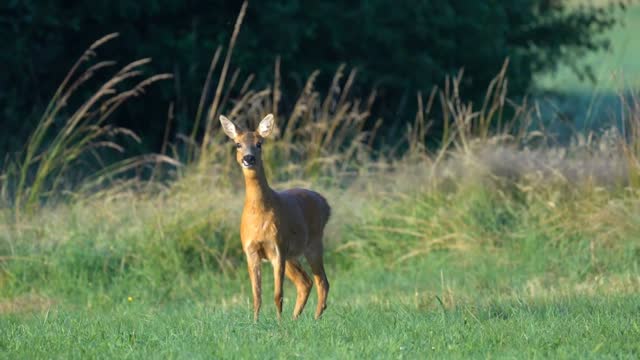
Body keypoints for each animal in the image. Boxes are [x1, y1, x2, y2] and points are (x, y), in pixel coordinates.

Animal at [219, 112, 330, 320]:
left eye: (259, 143)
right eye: (237, 144)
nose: (248, 158)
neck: (259, 215)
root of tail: (325, 203)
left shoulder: (277, 247)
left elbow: (278, 295)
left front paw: (278, 323)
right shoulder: (251, 250)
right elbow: (256, 295)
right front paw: (255, 322)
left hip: (313, 243)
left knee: (322, 281)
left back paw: (315, 318)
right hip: (292, 255)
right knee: (305, 282)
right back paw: (295, 319)